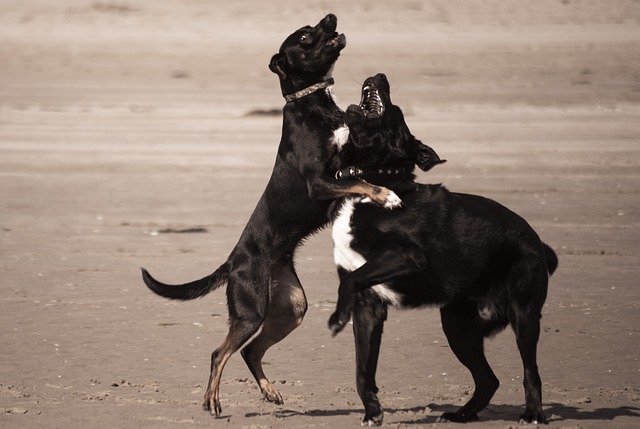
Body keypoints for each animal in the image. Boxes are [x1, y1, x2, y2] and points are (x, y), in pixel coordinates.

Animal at [142, 15, 408, 414]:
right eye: (306, 35)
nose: (330, 17)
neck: (315, 105)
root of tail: (232, 262)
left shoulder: (346, 165)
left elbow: (360, 173)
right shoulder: (320, 183)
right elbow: (363, 183)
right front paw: (387, 195)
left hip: (291, 307)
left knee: (250, 352)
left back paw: (268, 392)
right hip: (251, 309)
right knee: (219, 353)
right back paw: (212, 401)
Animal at [328, 73, 556, 424]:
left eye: (397, 111)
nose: (380, 76)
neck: (373, 179)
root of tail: (537, 242)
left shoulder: (405, 257)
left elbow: (350, 281)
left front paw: (337, 317)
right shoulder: (369, 308)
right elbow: (362, 369)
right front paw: (373, 411)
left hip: (524, 314)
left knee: (531, 371)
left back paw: (533, 414)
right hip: (457, 325)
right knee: (488, 380)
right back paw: (462, 415)